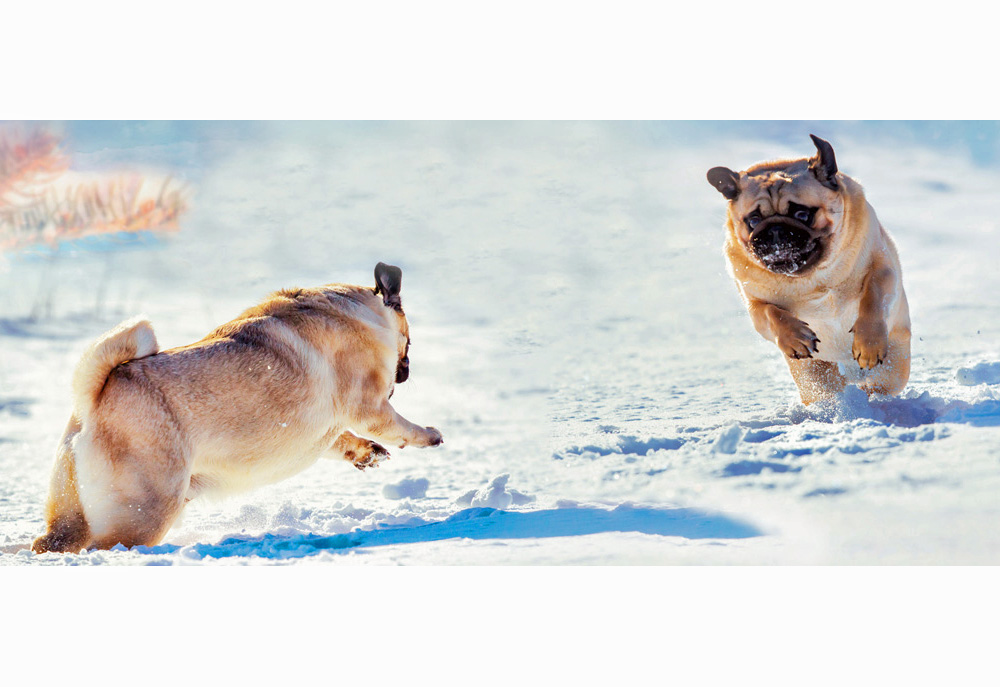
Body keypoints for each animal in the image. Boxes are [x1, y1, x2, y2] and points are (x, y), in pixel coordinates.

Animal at [31, 260, 442, 556]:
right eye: (410, 342)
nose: (406, 370)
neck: (360, 309)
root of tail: (92, 399)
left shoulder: (326, 430)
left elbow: (342, 439)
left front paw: (366, 453)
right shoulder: (368, 404)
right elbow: (398, 426)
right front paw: (429, 435)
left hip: (75, 512)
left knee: (53, 542)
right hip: (147, 508)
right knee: (104, 545)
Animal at [708, 134, 912, 404]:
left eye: (802, 214)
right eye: (753, 220)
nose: (775, 230)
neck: (812, 278)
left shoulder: (882, 269)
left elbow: (873, 298)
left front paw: (869, 344)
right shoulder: (755, 305)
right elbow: (772, 313)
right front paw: (795, 337)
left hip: (895, 363)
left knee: (879, 384)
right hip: (812, 376)